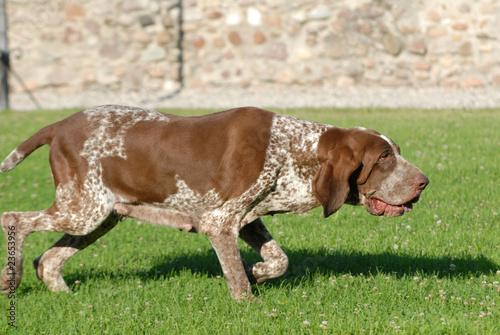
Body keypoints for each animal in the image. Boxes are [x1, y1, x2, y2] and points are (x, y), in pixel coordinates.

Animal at [0, 105, 430, 302]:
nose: (424, 183)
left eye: (396, 152)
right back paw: (11, 279)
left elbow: (279, 260)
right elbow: (238, 281)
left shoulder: (248, 219)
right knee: (13, 218)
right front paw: (248, 298)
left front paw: (258, 271)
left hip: (100, 215)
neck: (294, 151)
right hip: (83, 210)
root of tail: (60, 125)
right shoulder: (220, 222)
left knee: (49, 260)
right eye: (383, 158)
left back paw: (63, 294)